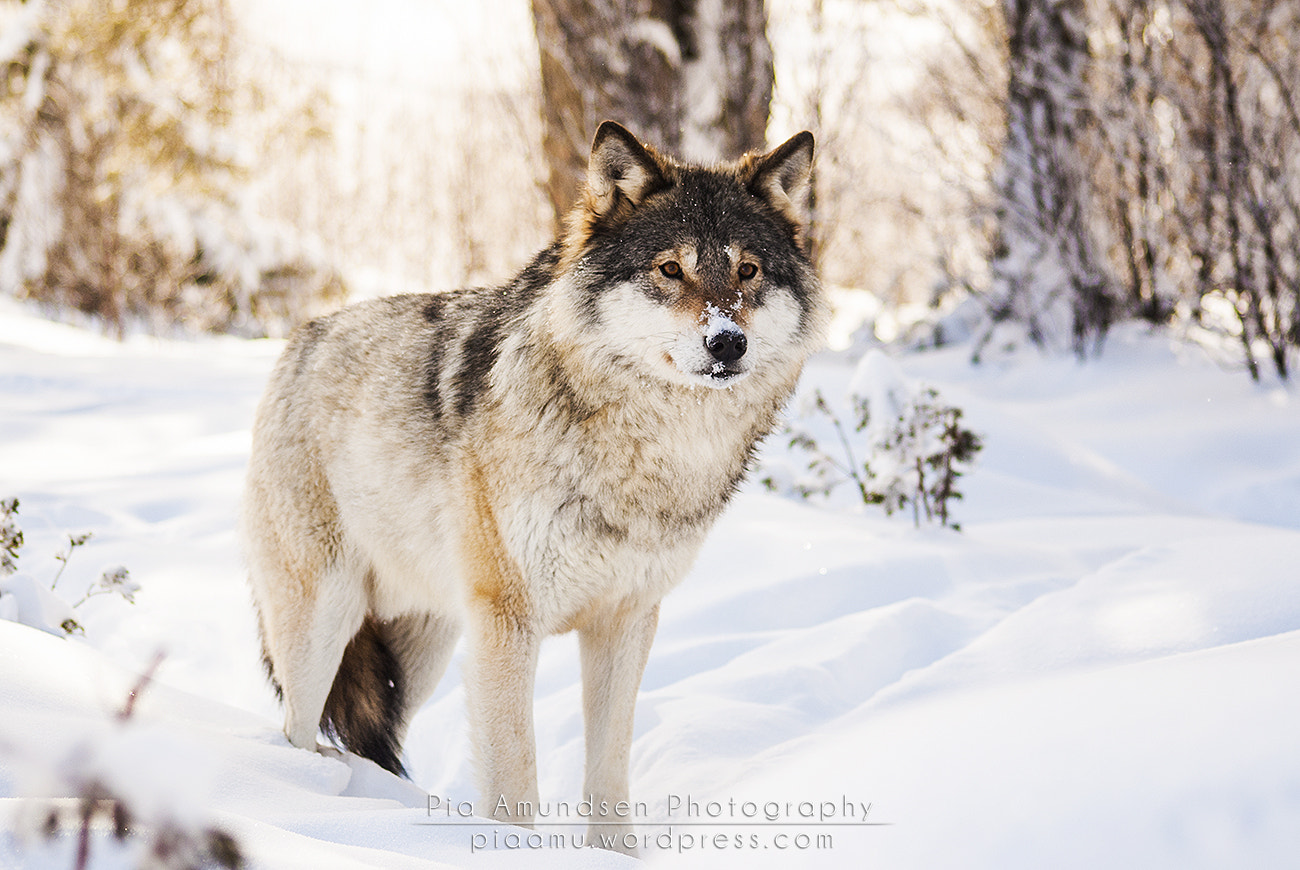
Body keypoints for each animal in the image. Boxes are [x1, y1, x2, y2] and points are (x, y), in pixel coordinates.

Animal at [243, 120, 826, 847]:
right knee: (295, 727)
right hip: (326, 620)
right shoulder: (508, 625)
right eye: (670, 269)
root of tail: (303, 339)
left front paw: (616, 856)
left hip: (422, 655)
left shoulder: (626, 621)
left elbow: (608, 771)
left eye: (748, 271)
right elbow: (516, 778)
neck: (642, 459)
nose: (727, 343)